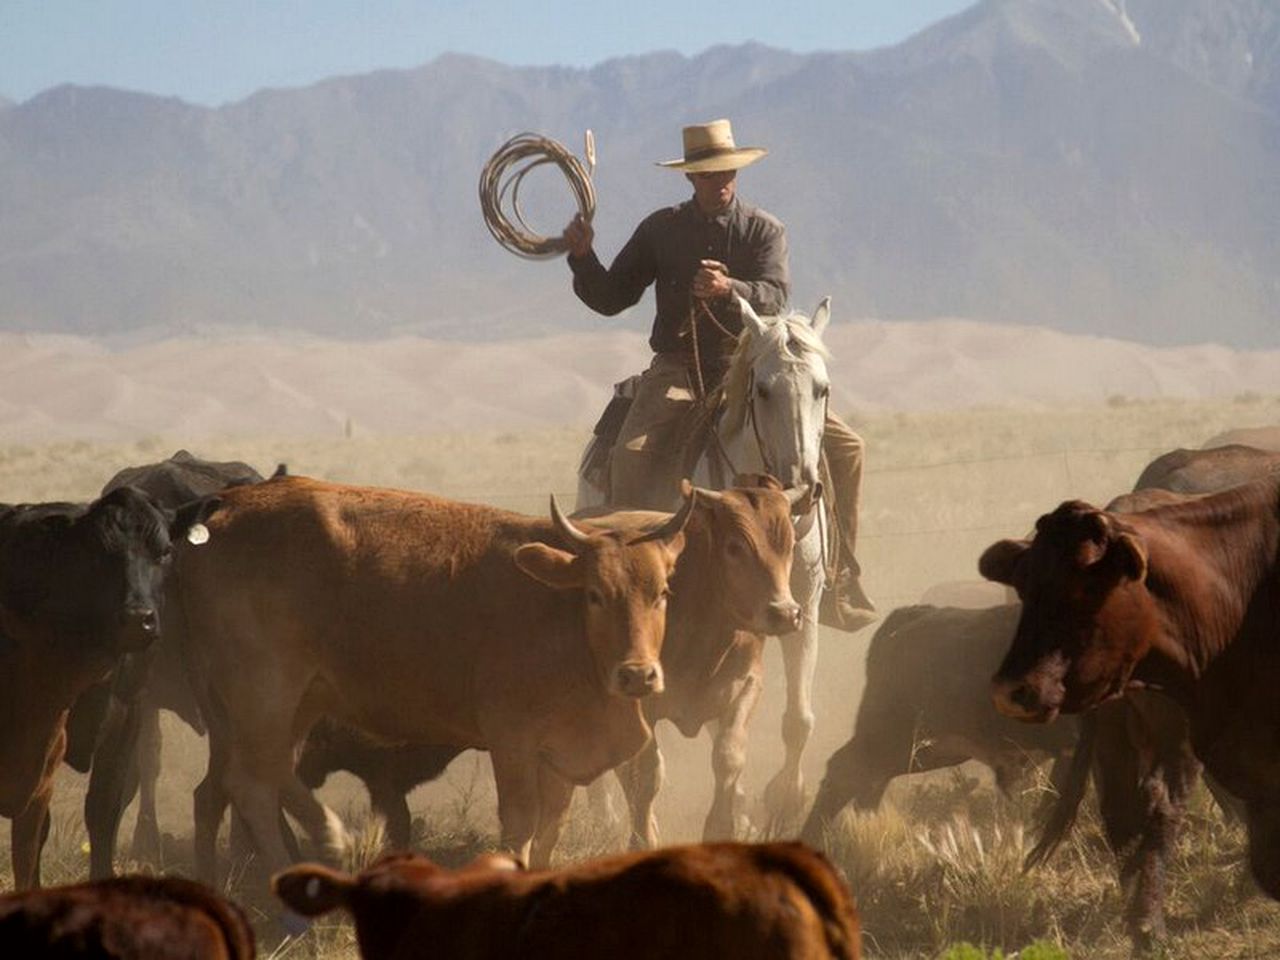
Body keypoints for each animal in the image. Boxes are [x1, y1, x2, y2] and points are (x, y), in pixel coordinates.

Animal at [177, 473, 691, 885]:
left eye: (663, 592)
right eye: (595, 594)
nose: (637, 675)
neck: (560, 618)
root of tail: (227, 509)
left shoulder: (559, 755)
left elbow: (552, 826)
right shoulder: (512, 741)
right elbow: (521, 824)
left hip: (280, 704)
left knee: (224, 788)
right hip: (264, 693)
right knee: (252, 782)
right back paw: (316, 859)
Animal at [578, 299, 834, 834]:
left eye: (822, 389)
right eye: (763, 389)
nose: (803, 486)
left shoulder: (803, 601)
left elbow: (795, 718)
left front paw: (782, 800)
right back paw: (605, 813)